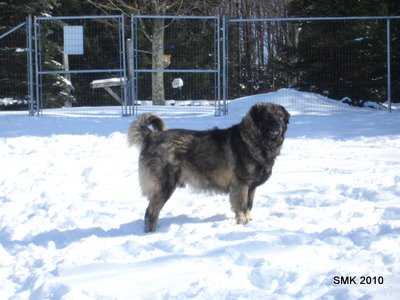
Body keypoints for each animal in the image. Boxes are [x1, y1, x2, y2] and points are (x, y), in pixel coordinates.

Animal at [130, 103, 290, 232]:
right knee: (150, 212)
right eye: (268, 117)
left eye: (281, 116)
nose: (278, 126)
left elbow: (249, 206)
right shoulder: (241, 185)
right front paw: (243, 224)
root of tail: (151, 135)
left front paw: (248, 221)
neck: (253, 140)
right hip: (165, 186)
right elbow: (242, 207)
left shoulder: (251, 188)